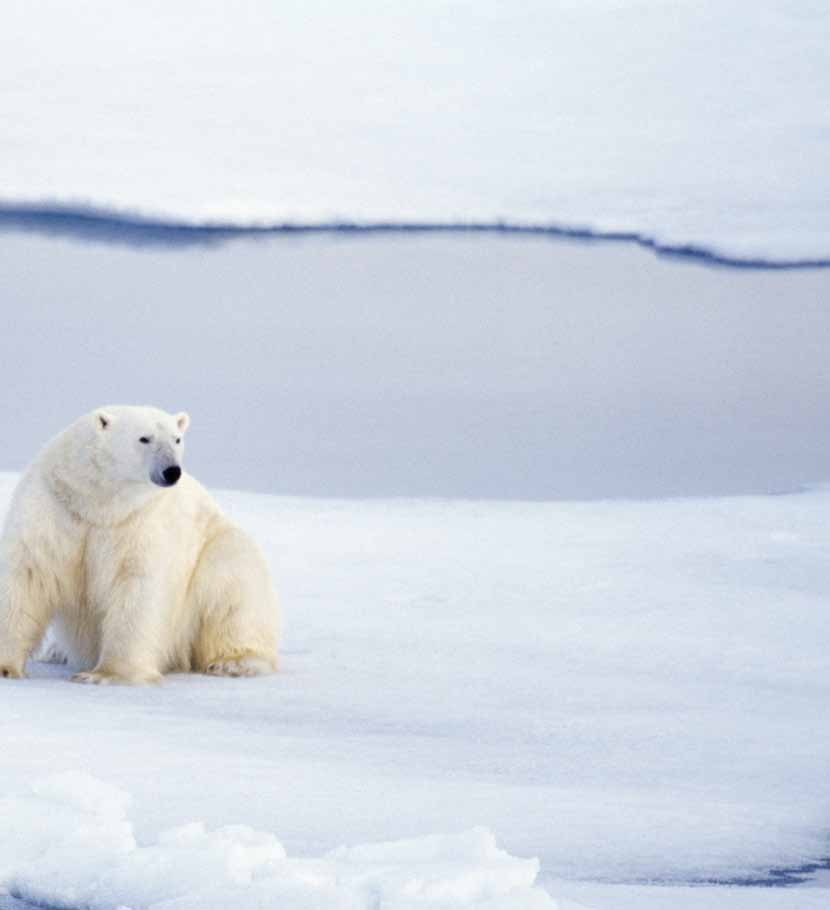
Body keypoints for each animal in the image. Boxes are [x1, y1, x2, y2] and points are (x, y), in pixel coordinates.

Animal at [0, 406, 282, 684]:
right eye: (144, 438)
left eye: (177, 439)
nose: (172, 471)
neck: (97, 503)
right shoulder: (54, 506)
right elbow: (27, 576)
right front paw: (6, 667)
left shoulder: (140, 521)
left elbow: (137, 587)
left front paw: (106, 674)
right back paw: (55, 653)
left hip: (216, 549)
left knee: (233, 590)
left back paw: (234, 663)